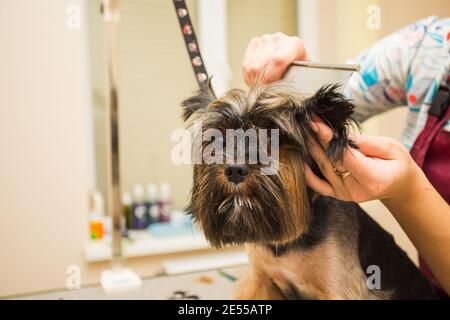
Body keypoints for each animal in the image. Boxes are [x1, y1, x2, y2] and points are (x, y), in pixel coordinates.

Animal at [179, 80, 436, 300]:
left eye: (275, 138)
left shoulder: (340, 289)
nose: (234, 170)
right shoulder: (263, 281)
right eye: (218, 138)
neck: (288, 242)